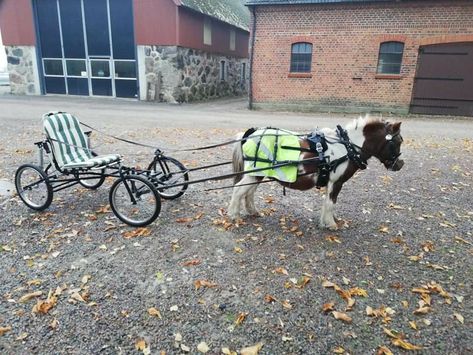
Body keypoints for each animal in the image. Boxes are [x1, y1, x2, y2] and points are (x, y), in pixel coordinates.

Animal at [228, 115, 402, 229]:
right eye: (398, 141)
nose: (400, 164)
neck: (347, 146)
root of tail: (251, 133)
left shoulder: (330, 181)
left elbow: (328, 202)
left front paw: (326, 221)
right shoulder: (336, 182)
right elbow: (331, 203)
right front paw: (331, 224)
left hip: (257, 174)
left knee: (249, 193)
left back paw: (252, 211)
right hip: (254, 173)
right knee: (238, 190)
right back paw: (234, 215)